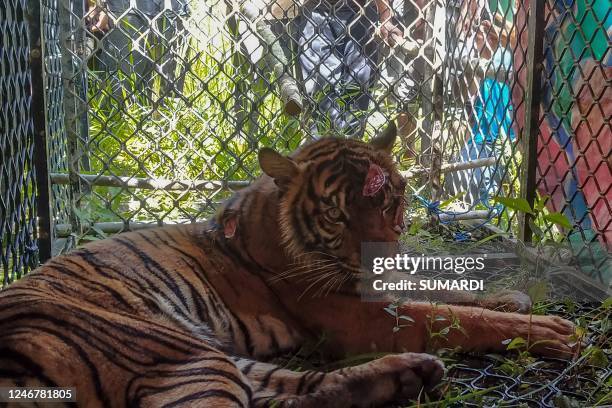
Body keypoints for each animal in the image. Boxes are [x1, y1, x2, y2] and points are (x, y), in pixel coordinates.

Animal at [0, 124, 580, 408]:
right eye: (336, 214)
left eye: (389, 201)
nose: (378, 253)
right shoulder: (355, 317)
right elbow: (448, 315)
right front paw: (551, 330)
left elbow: (440, 291)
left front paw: (510, 299)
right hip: (171, 352)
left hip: (209, 355)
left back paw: (410, 374)